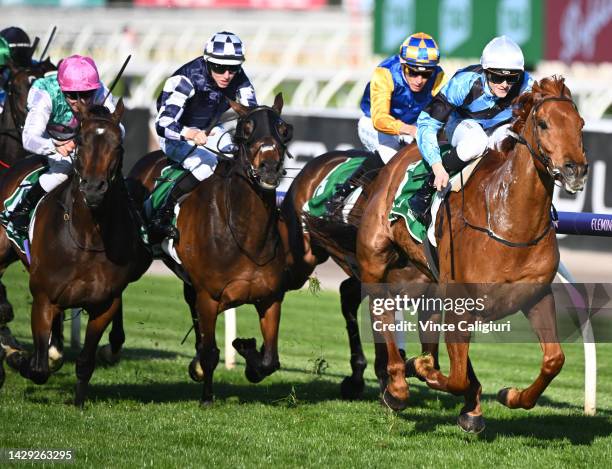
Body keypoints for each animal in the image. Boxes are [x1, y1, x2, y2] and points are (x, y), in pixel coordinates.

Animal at [0, 99, 152, 402]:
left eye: (118, 145)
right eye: (80, 142)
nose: (93, 189)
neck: (90, 237)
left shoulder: (105, 303)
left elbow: (85, 362)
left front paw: (79, 401)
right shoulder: (44, 297)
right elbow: (38, 369)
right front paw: (19, 357)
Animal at [127, 94, 292, 402]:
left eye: (283, 128)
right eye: (245, 128)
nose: (269, 167)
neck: (246, 237)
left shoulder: (270, 297)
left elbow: (270, 360)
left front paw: (246, 349)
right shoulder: (209, 296)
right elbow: (210, 352)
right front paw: (206, 397)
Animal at [358, 77, 588, 432]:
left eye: (580, 124)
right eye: (543, 123)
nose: (575, 170)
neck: (509, 223)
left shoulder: (536, 296)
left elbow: (554, 359)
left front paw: (510, 395)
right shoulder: (460, 304)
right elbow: (454, 377)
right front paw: (422, 369)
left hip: (423, 277)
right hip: (375, 259)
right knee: (380, 312)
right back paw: (396, 385)